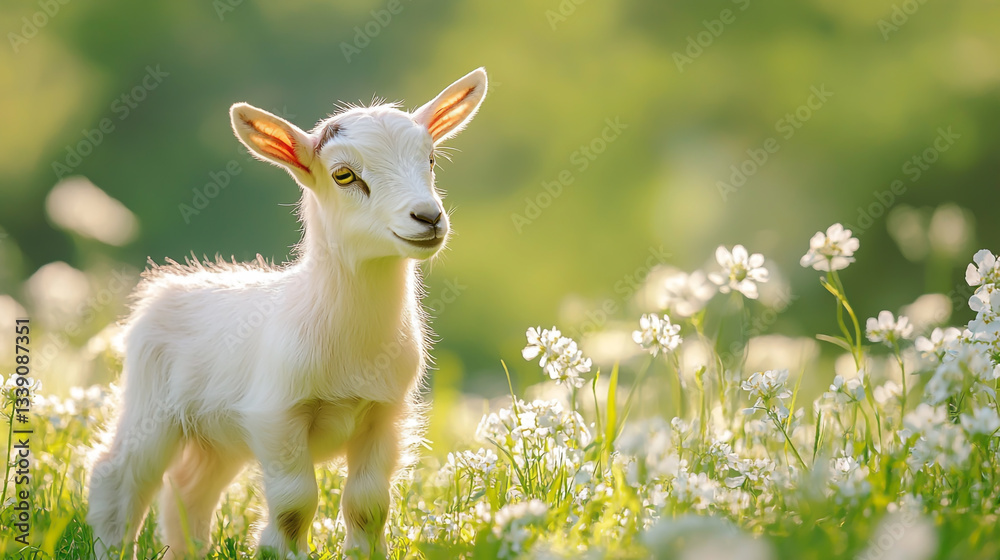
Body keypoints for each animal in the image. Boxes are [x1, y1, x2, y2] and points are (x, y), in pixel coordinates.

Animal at [86, 68, 488, 559]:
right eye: (344, 174)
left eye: (430, 160)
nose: (428, 218)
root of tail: (164, 286)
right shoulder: (276, 413)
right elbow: (295, 503)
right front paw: (281, 550)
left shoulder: (385, 413)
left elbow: (368, 503)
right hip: (151, 403)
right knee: (118, 476)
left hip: (217, 436)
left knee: (188, 489)